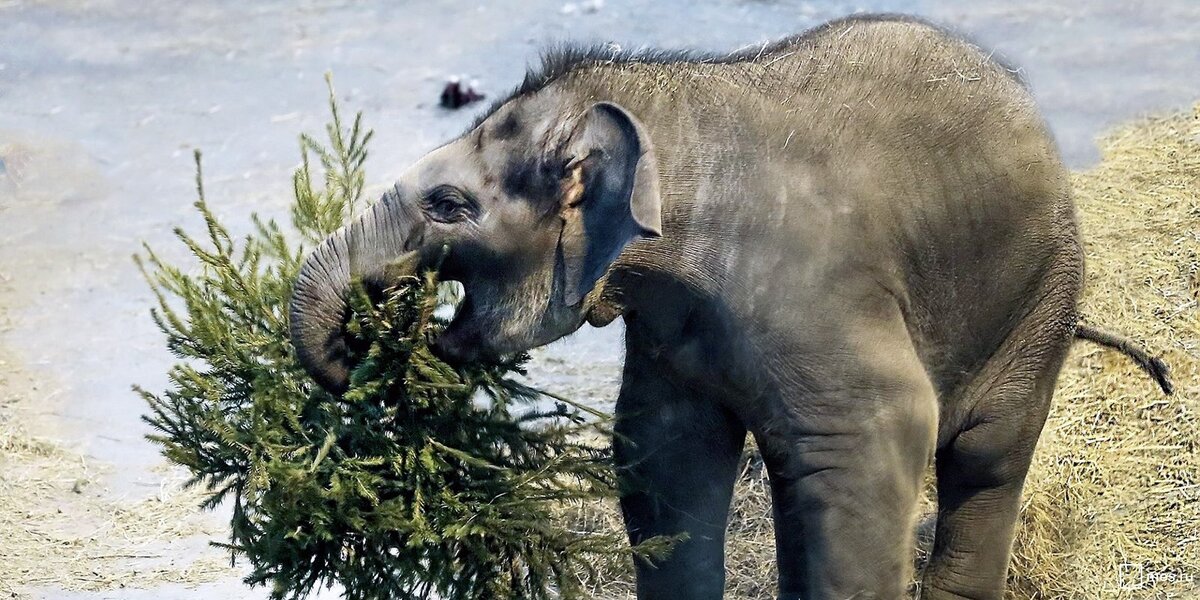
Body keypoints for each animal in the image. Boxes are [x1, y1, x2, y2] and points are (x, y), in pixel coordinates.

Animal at [290, 12, 1171, 600]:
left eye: (446, 205)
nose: (367, 346)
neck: (662, 127)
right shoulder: (670, 324)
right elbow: (664, 453)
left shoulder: (817, 292)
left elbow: (885, 429)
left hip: (1041, 293)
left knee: (985, 457)